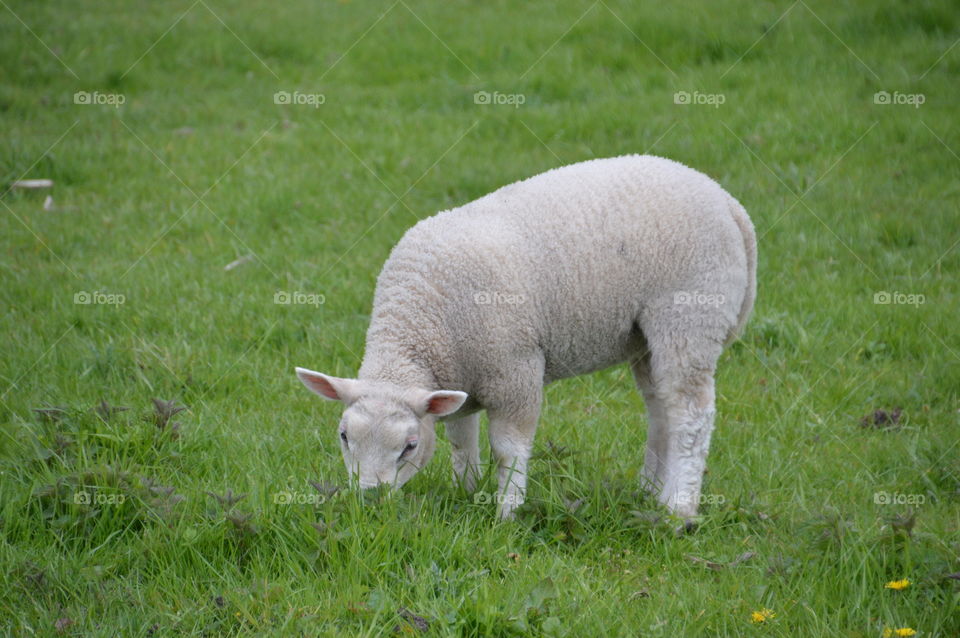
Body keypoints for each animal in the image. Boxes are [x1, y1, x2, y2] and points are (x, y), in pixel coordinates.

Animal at [296, 154, 756, 520]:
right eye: (344, 437)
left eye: (409, 446)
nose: (369, 500)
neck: (420, 328)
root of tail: (727, 201)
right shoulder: (459, 375)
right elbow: (460, 440)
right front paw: (467, 491)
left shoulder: (513, 371)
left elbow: (508, 448)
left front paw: (506, 512)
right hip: (646, 336)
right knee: (661, 409)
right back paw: (649, 491)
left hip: (689, 316)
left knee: (691, 416)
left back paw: (679, 509)